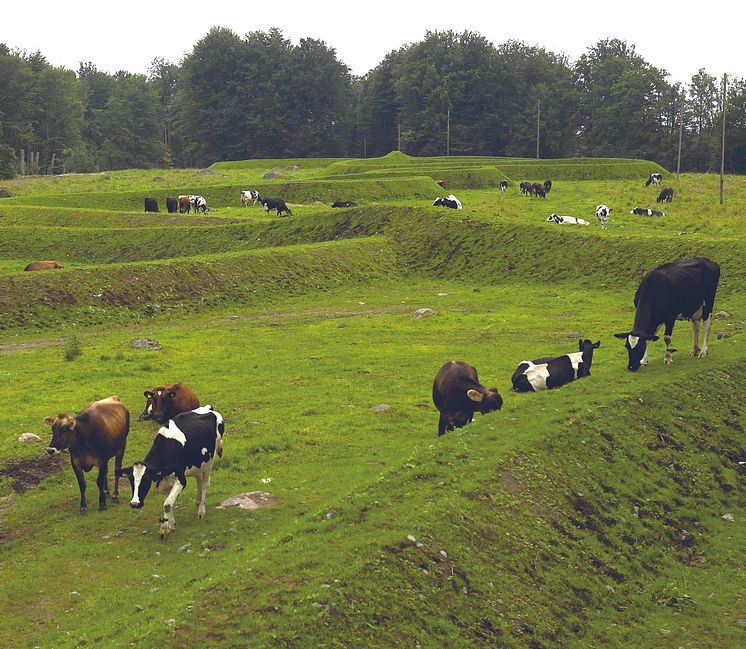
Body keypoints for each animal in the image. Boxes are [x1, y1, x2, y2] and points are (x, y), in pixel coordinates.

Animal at [116, 408, 224, 540]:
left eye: (145, 480)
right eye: (131, 480)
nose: (135, 504)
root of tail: (209, 408)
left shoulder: (181, 480)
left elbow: (167, 504)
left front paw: (164, 530)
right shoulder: (163, 482)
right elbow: (169, 502)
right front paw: (170, 524)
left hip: (209, 461)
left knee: (204, 484)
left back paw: (201, 511)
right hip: (198, 463)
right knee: (199, 480)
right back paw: (198, 502)